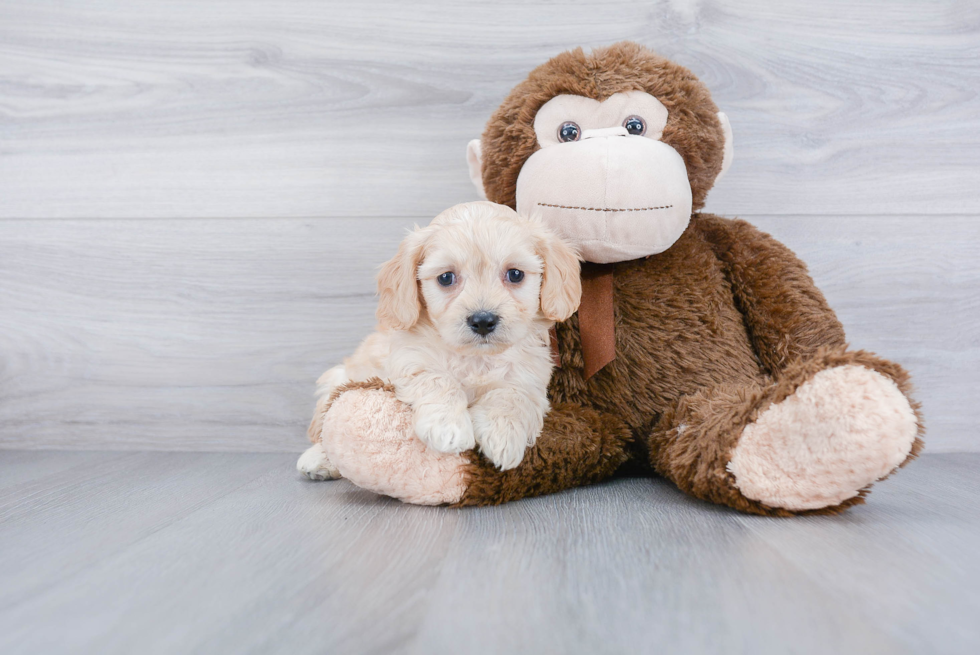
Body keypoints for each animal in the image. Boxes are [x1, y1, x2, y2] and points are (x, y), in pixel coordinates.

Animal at [298, 200, 580, 476]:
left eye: (515, 274)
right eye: (446, 277)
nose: (483, 320)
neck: (476, 358)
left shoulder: (529, 380)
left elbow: (512, 397)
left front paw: (503, 436)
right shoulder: (409, 360)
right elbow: (437, 379)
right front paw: (448, 428)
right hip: (339, 379)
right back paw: (317, 460)